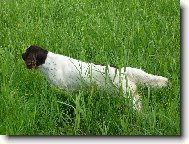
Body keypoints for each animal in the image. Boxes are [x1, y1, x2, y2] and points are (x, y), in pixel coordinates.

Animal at [22, 45, 168, 110]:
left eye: (26, 52)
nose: (21, 54)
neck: (48, 61)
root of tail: (122, 70)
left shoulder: (64, 89)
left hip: (128, 95)